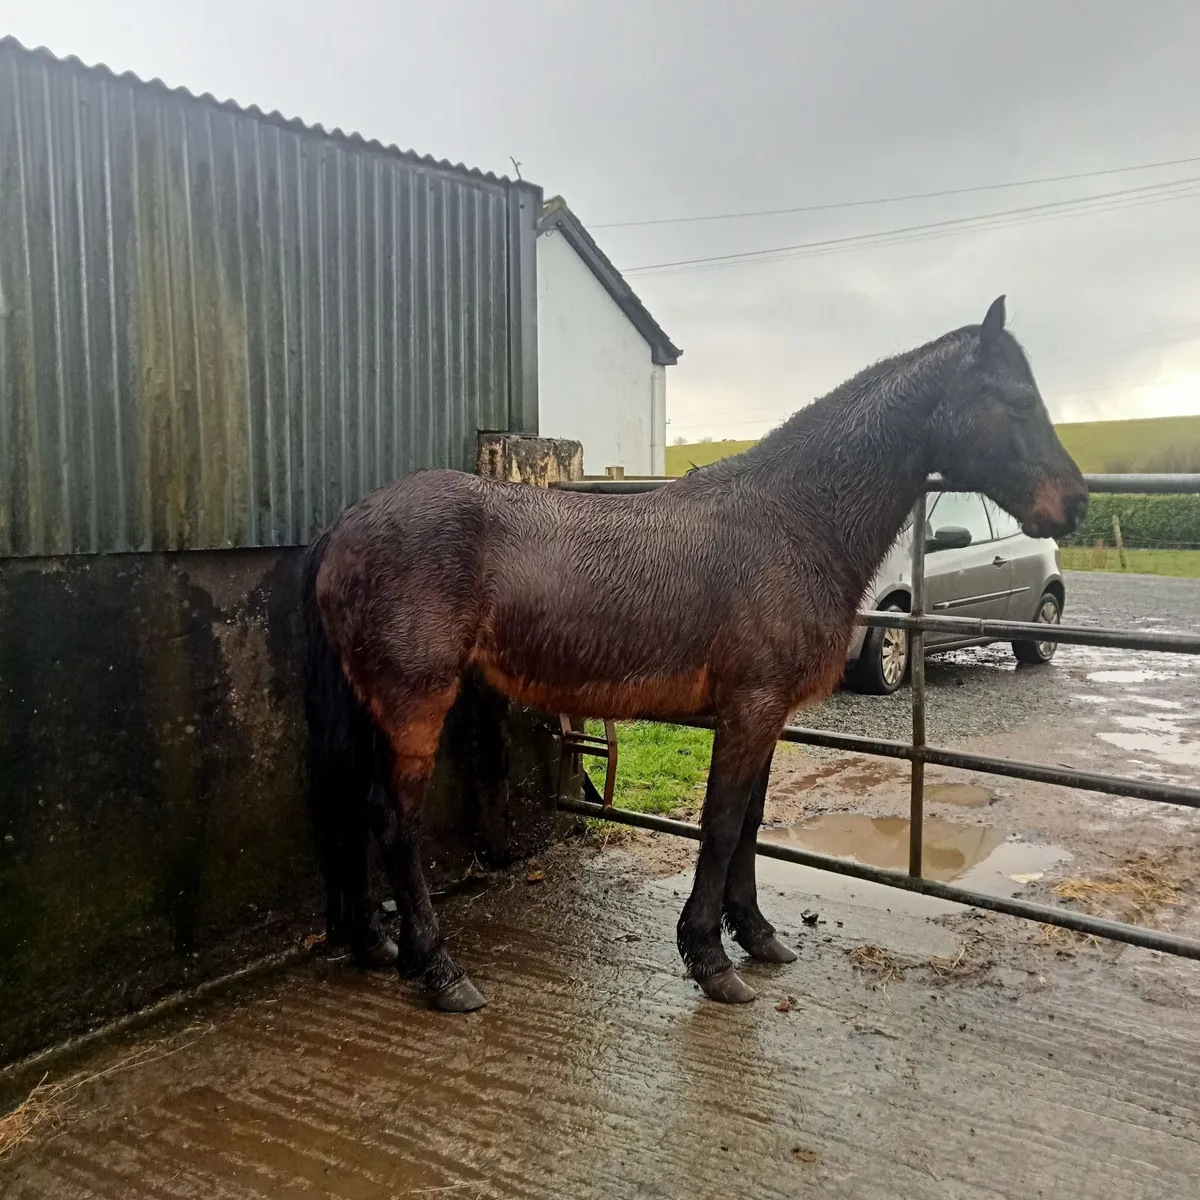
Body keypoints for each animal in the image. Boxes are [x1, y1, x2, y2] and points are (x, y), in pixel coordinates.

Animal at [302, 296, 1088, 1012]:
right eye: (1019, 401)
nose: (1076, 502)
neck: (792, 521)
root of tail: (346, 524)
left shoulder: (768, 715)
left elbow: (749, 827)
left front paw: (759, 936)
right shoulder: (748, 711)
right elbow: (720, 825)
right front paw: (711, 959)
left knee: (349, 805)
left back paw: (375, 943)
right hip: (414, 704)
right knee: (394, 822)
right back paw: (439, 970)